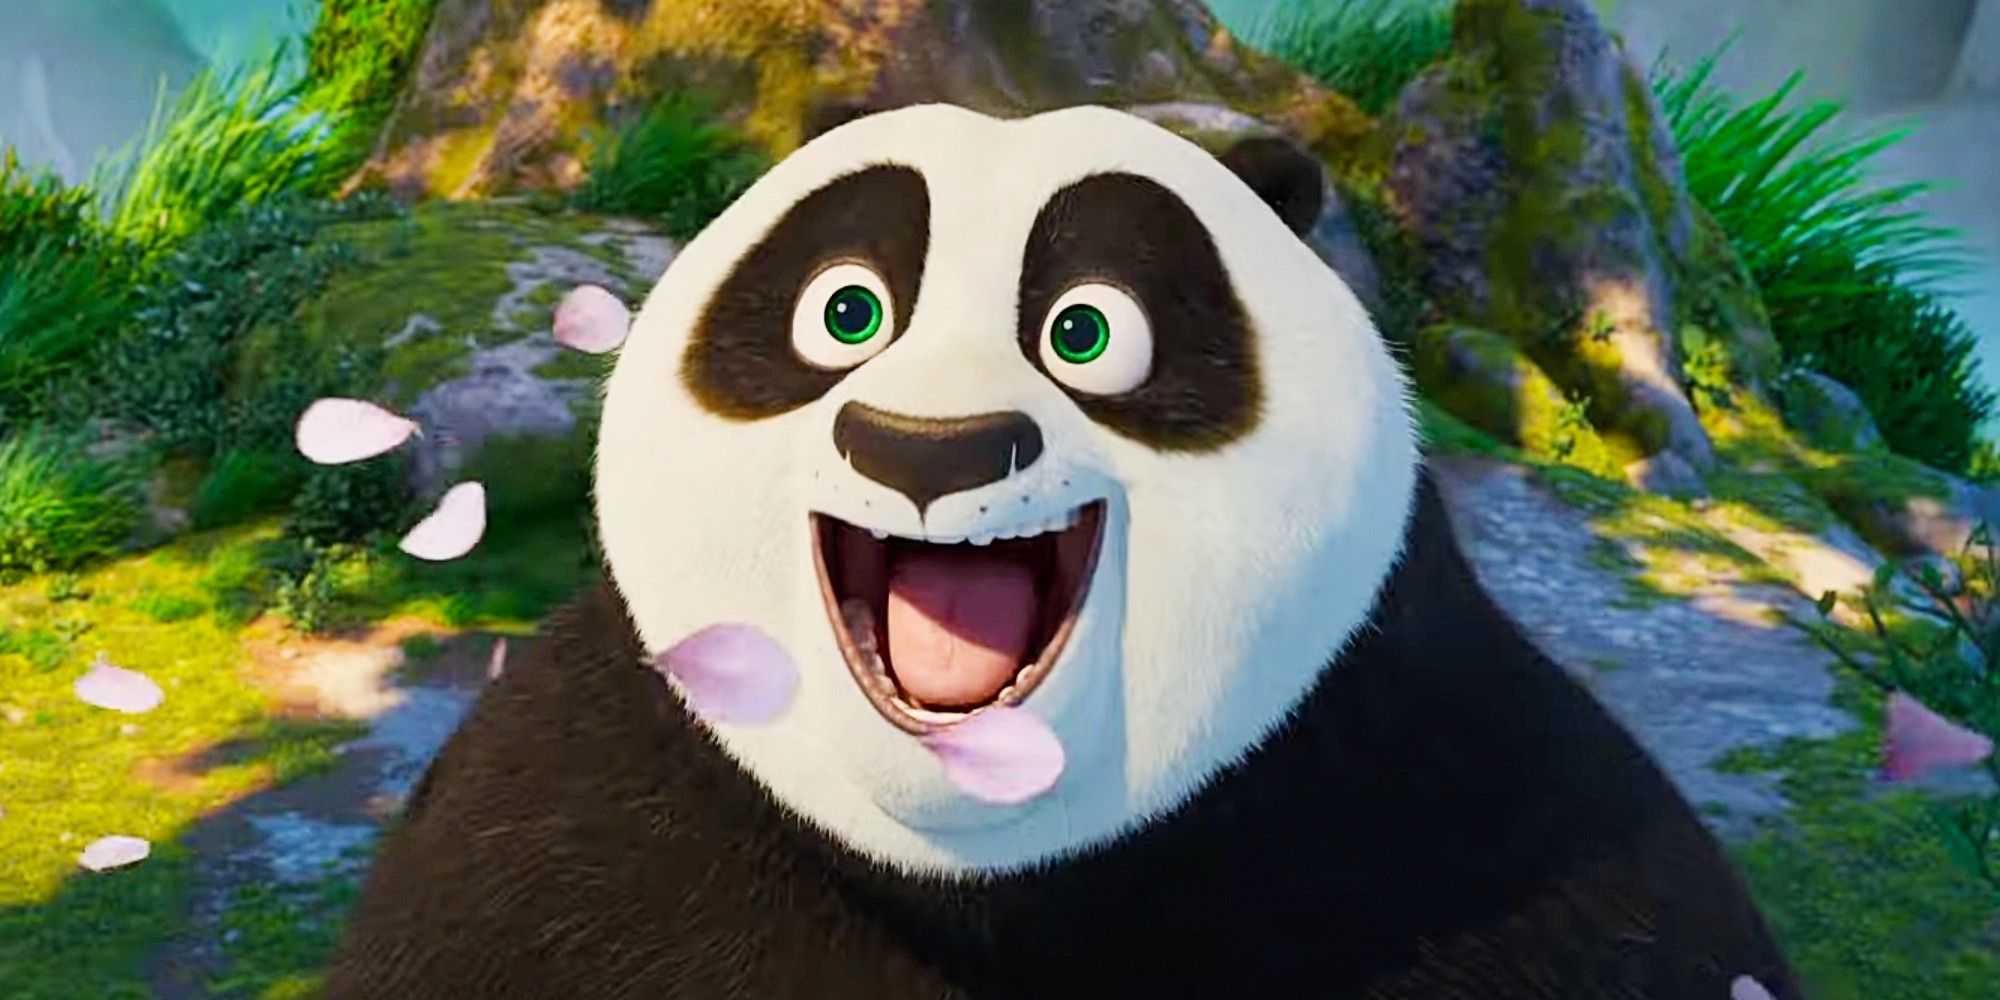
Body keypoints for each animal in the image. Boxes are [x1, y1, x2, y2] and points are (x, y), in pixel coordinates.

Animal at [324, 103, 1801, 999]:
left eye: (1087, 330)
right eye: (844, 311)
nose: (930, 449)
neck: (979, 865)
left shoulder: (1454, 802)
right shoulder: (563, 819)